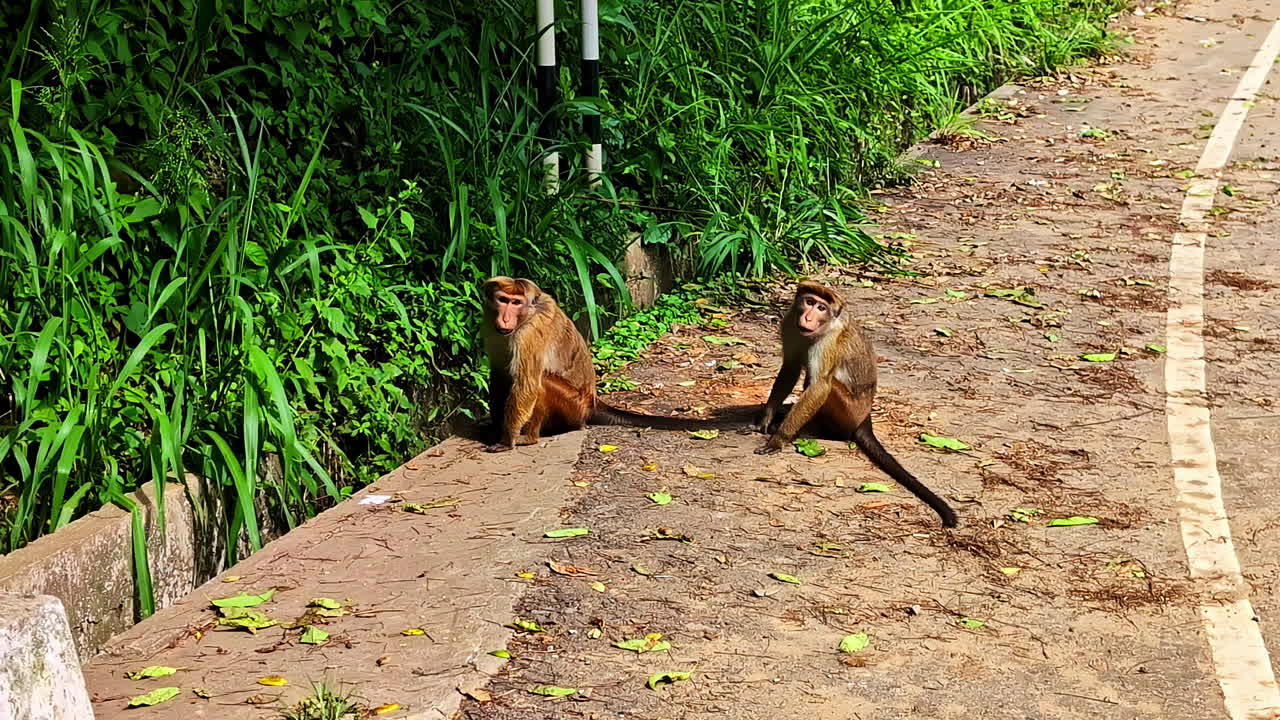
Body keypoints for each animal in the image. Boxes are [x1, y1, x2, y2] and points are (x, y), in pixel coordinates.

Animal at [481, 276, 737, 452]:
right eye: (503, 300)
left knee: (541, 382)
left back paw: (530, 437)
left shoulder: (531, 334)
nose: (505, 317)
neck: (525, 317)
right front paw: (496, 425)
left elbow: (527, 384)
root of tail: (594, 402)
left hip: (574, 408)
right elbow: (499, 374)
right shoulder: (490, 325)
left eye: (516, 302)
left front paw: (508, 438)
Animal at [755, 281, 958, 528]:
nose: (809, 317)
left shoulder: (829, 341)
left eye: (821, 308)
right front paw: (766, 418)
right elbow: (790, 368)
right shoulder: (789, 323)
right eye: (809, 301)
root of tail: (865, 418)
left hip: (849, 412)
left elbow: (819, 386)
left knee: (825, 384)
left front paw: (779, 439)